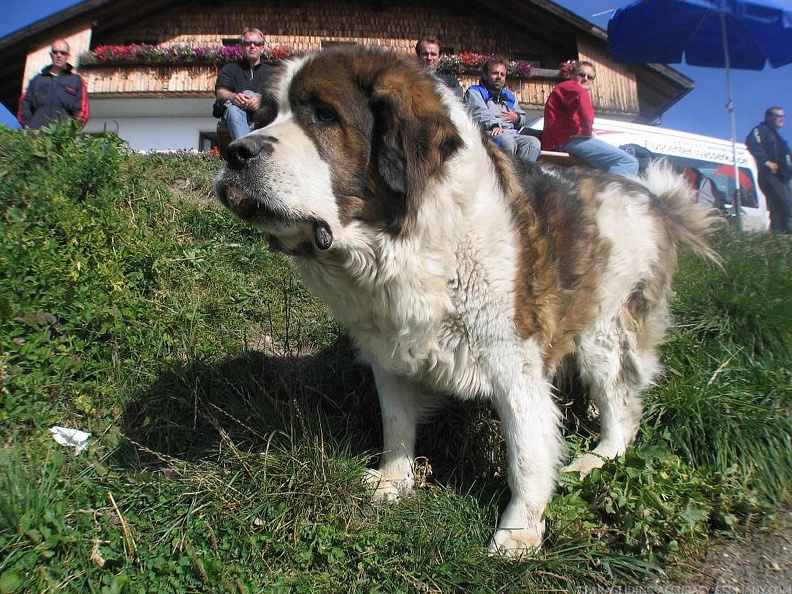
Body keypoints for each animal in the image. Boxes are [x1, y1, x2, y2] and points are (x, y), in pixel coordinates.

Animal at [213, 46, 720, 556]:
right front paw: (394, 482)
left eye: (323, 115)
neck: (409, 237)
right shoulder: (387, 348)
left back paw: (596, 458)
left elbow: (526, 452)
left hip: (606, 331)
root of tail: (654, 201)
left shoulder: (513, 358)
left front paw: (518, 533)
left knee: (622, 408)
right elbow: (396, 421)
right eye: (262, 117)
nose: (236, 152)